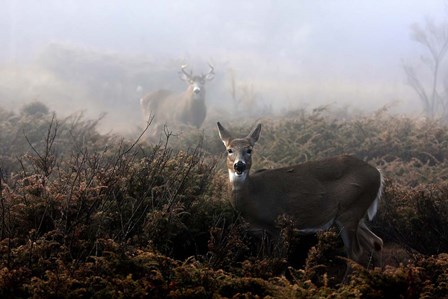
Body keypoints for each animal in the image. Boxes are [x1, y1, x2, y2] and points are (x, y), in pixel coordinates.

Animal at [218, 122, 384, 272]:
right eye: (229, 150)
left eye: (249, 150)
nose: (239, 165)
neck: (253, 196)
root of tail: (378, 173)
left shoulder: (279, 226)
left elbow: (280, 261)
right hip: (354, 215)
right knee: (376, 241)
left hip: (350, 211)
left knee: (355, 253)